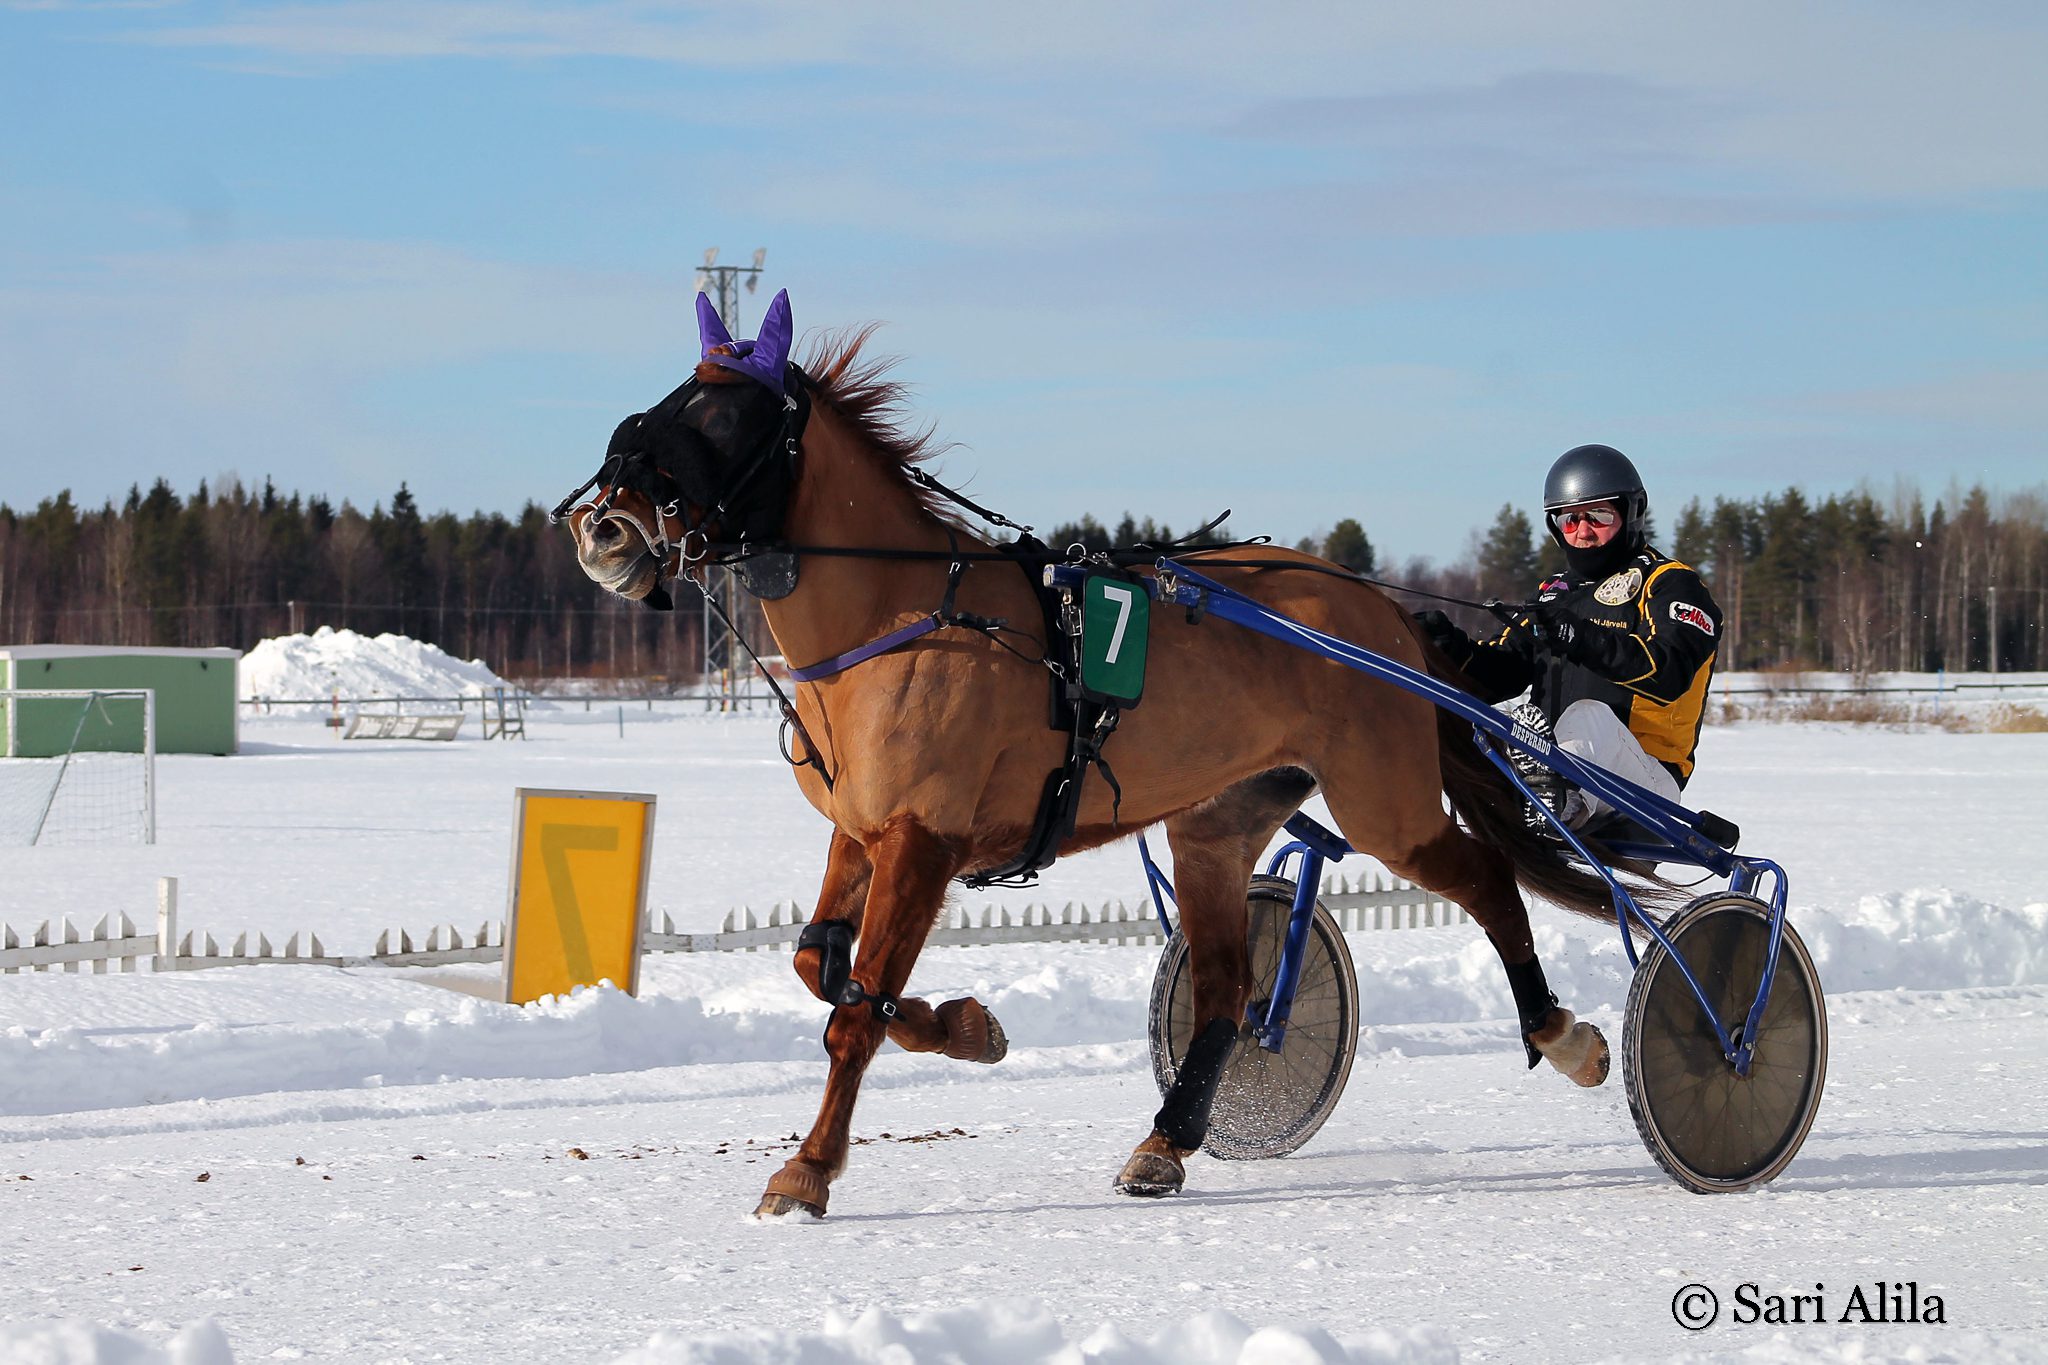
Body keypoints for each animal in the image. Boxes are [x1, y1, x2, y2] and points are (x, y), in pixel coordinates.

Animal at [559, 291, 1622, 1219]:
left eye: (727, 414)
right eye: (673, 396)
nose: (603, 525)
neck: (897, 621)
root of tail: (1377, 609)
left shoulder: (923, 841)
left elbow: (857, 1007)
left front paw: (808, 1169)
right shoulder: (859, 833)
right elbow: (822, 968)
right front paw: (969, 1025)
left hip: (1385, 801)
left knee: (1486, 878)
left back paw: (1565, 1033)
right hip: (1216, 824)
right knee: (1228, 986)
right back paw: (1166, 1140)